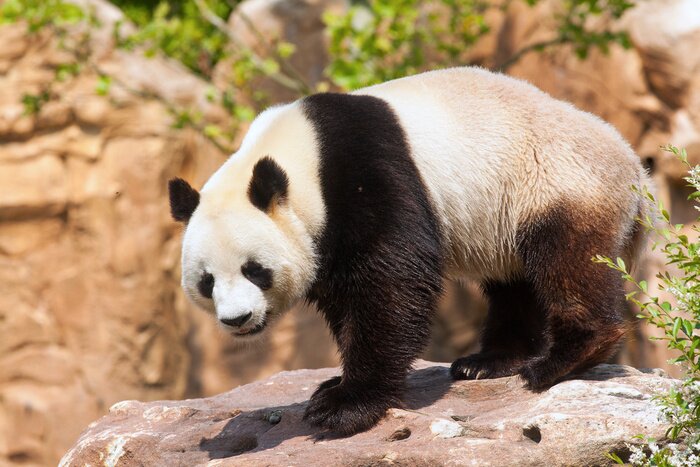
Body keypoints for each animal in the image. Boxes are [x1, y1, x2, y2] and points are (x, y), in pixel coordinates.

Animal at [169, 67, 650, 436]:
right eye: (207, 282)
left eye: (255, 270)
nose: (238, 319)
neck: (299, 159)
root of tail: (636, 169)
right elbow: (348, 298)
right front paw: (335, 385)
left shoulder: (368, 174)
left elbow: (391, 281)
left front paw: (344, 406)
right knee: (517, 283)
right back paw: (488, 362)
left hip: (555, 182)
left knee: (567, 261)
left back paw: (563, 359)